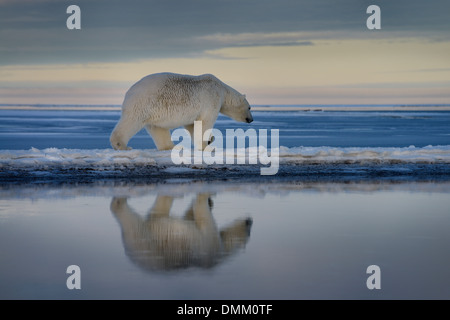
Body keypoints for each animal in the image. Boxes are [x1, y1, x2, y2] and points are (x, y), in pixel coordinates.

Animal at [107, 73, 251, 151]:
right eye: (250, 108)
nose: (251, 119)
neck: (222, 89)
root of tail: (129, 92)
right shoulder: (211, 99)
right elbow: (205, 122)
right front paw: (207, 145)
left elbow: (192, 125)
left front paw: (210, 140)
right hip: (143, 103)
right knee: (131, 122)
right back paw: (122, 145)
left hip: (153, 112)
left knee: (158, 129)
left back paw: (171, 147)